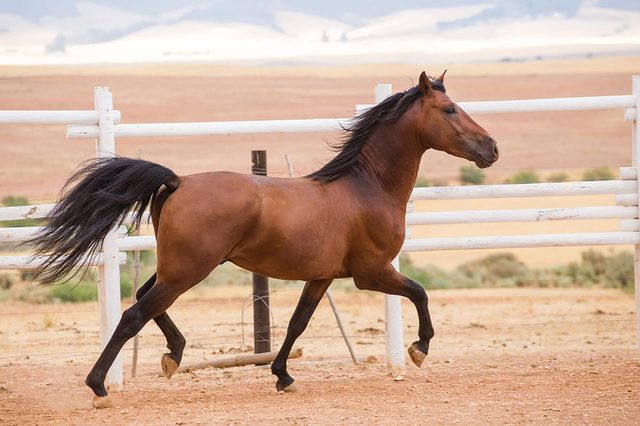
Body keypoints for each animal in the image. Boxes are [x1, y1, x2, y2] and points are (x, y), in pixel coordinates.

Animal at [29, 71, 498, 408]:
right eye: (450, 109)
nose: (491, 149)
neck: (367, 187)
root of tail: (179, 181)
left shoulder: (322, 277)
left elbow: (297, 322)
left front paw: (283, 377)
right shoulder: (371, 273)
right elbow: (420, 293)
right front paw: (420, 348)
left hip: (179, 267)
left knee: (146, 301)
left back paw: (173, 355)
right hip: (188, 269)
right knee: (133, 314)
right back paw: (100, 388)